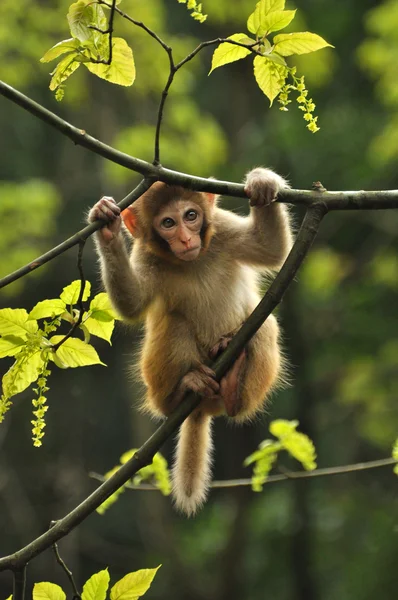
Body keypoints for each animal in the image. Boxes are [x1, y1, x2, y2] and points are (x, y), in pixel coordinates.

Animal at [88, 169, 292, 516]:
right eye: (168, 223)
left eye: (191, 216)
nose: (185, 239)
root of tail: (203, 407)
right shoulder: (145, 255)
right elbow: (132, 304)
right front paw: (106, 227)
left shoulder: (221, 226)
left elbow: (271, 249)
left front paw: (263, 183)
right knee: (175, 323)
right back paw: (182, 390)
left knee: (264, 325)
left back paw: (234, 388)